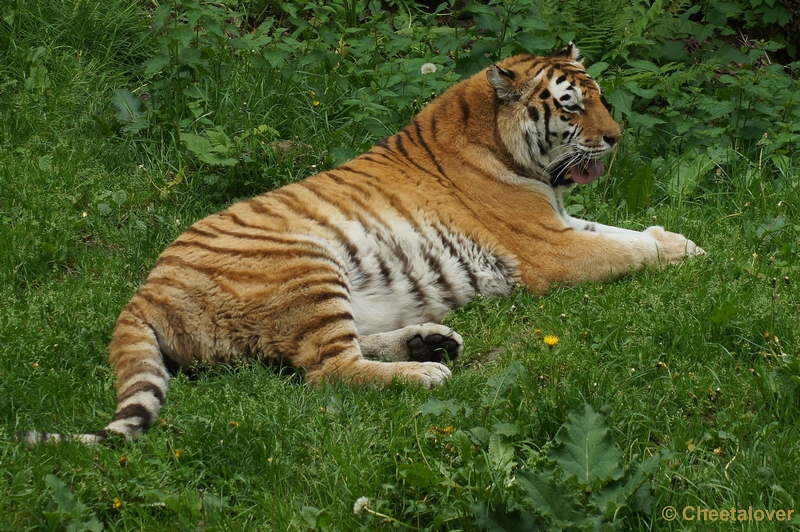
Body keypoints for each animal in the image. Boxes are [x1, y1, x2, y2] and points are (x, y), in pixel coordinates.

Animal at [21, 44, 704, 444]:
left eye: (601, 98)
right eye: (572, 106)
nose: (616, 138)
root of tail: (143, 291)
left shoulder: (562, 224)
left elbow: (625, 233)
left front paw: (684, 242)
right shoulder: (548, 248)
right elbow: (626, 250)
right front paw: (683, 254)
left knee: (329, 353)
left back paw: (430, 341)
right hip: (307, 265)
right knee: (328, 372)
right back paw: (426, 371)